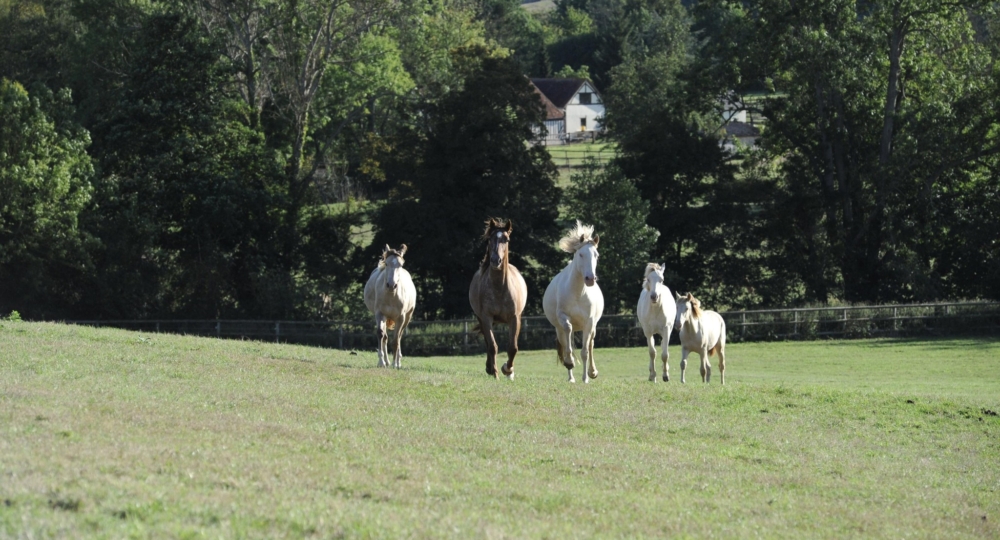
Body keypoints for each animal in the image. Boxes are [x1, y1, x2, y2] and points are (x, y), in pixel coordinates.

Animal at [470, 218, 532, 380]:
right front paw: (496, 372)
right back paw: (490, 368)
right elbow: (492, 346)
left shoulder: (515, 318)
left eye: (507, 239)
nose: (495, 260)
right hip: (482, 319)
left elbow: (513, 348)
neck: (500, 288)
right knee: (488, 343)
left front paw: (508, 370)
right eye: (490, 239)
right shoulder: (486, 317)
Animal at [544, 220, 604, 384]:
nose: (590, 279)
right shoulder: (563, 318)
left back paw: (592, 372)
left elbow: (585, 352)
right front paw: (570, 362)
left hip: (592, 327)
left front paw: (586, 378)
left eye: (596, 255)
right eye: (581, 254)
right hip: (559, 330)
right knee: (566, 343)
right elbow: (568, 340)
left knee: (590, 345)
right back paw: (570, 376)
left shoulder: (589, 323)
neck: (578, 292)